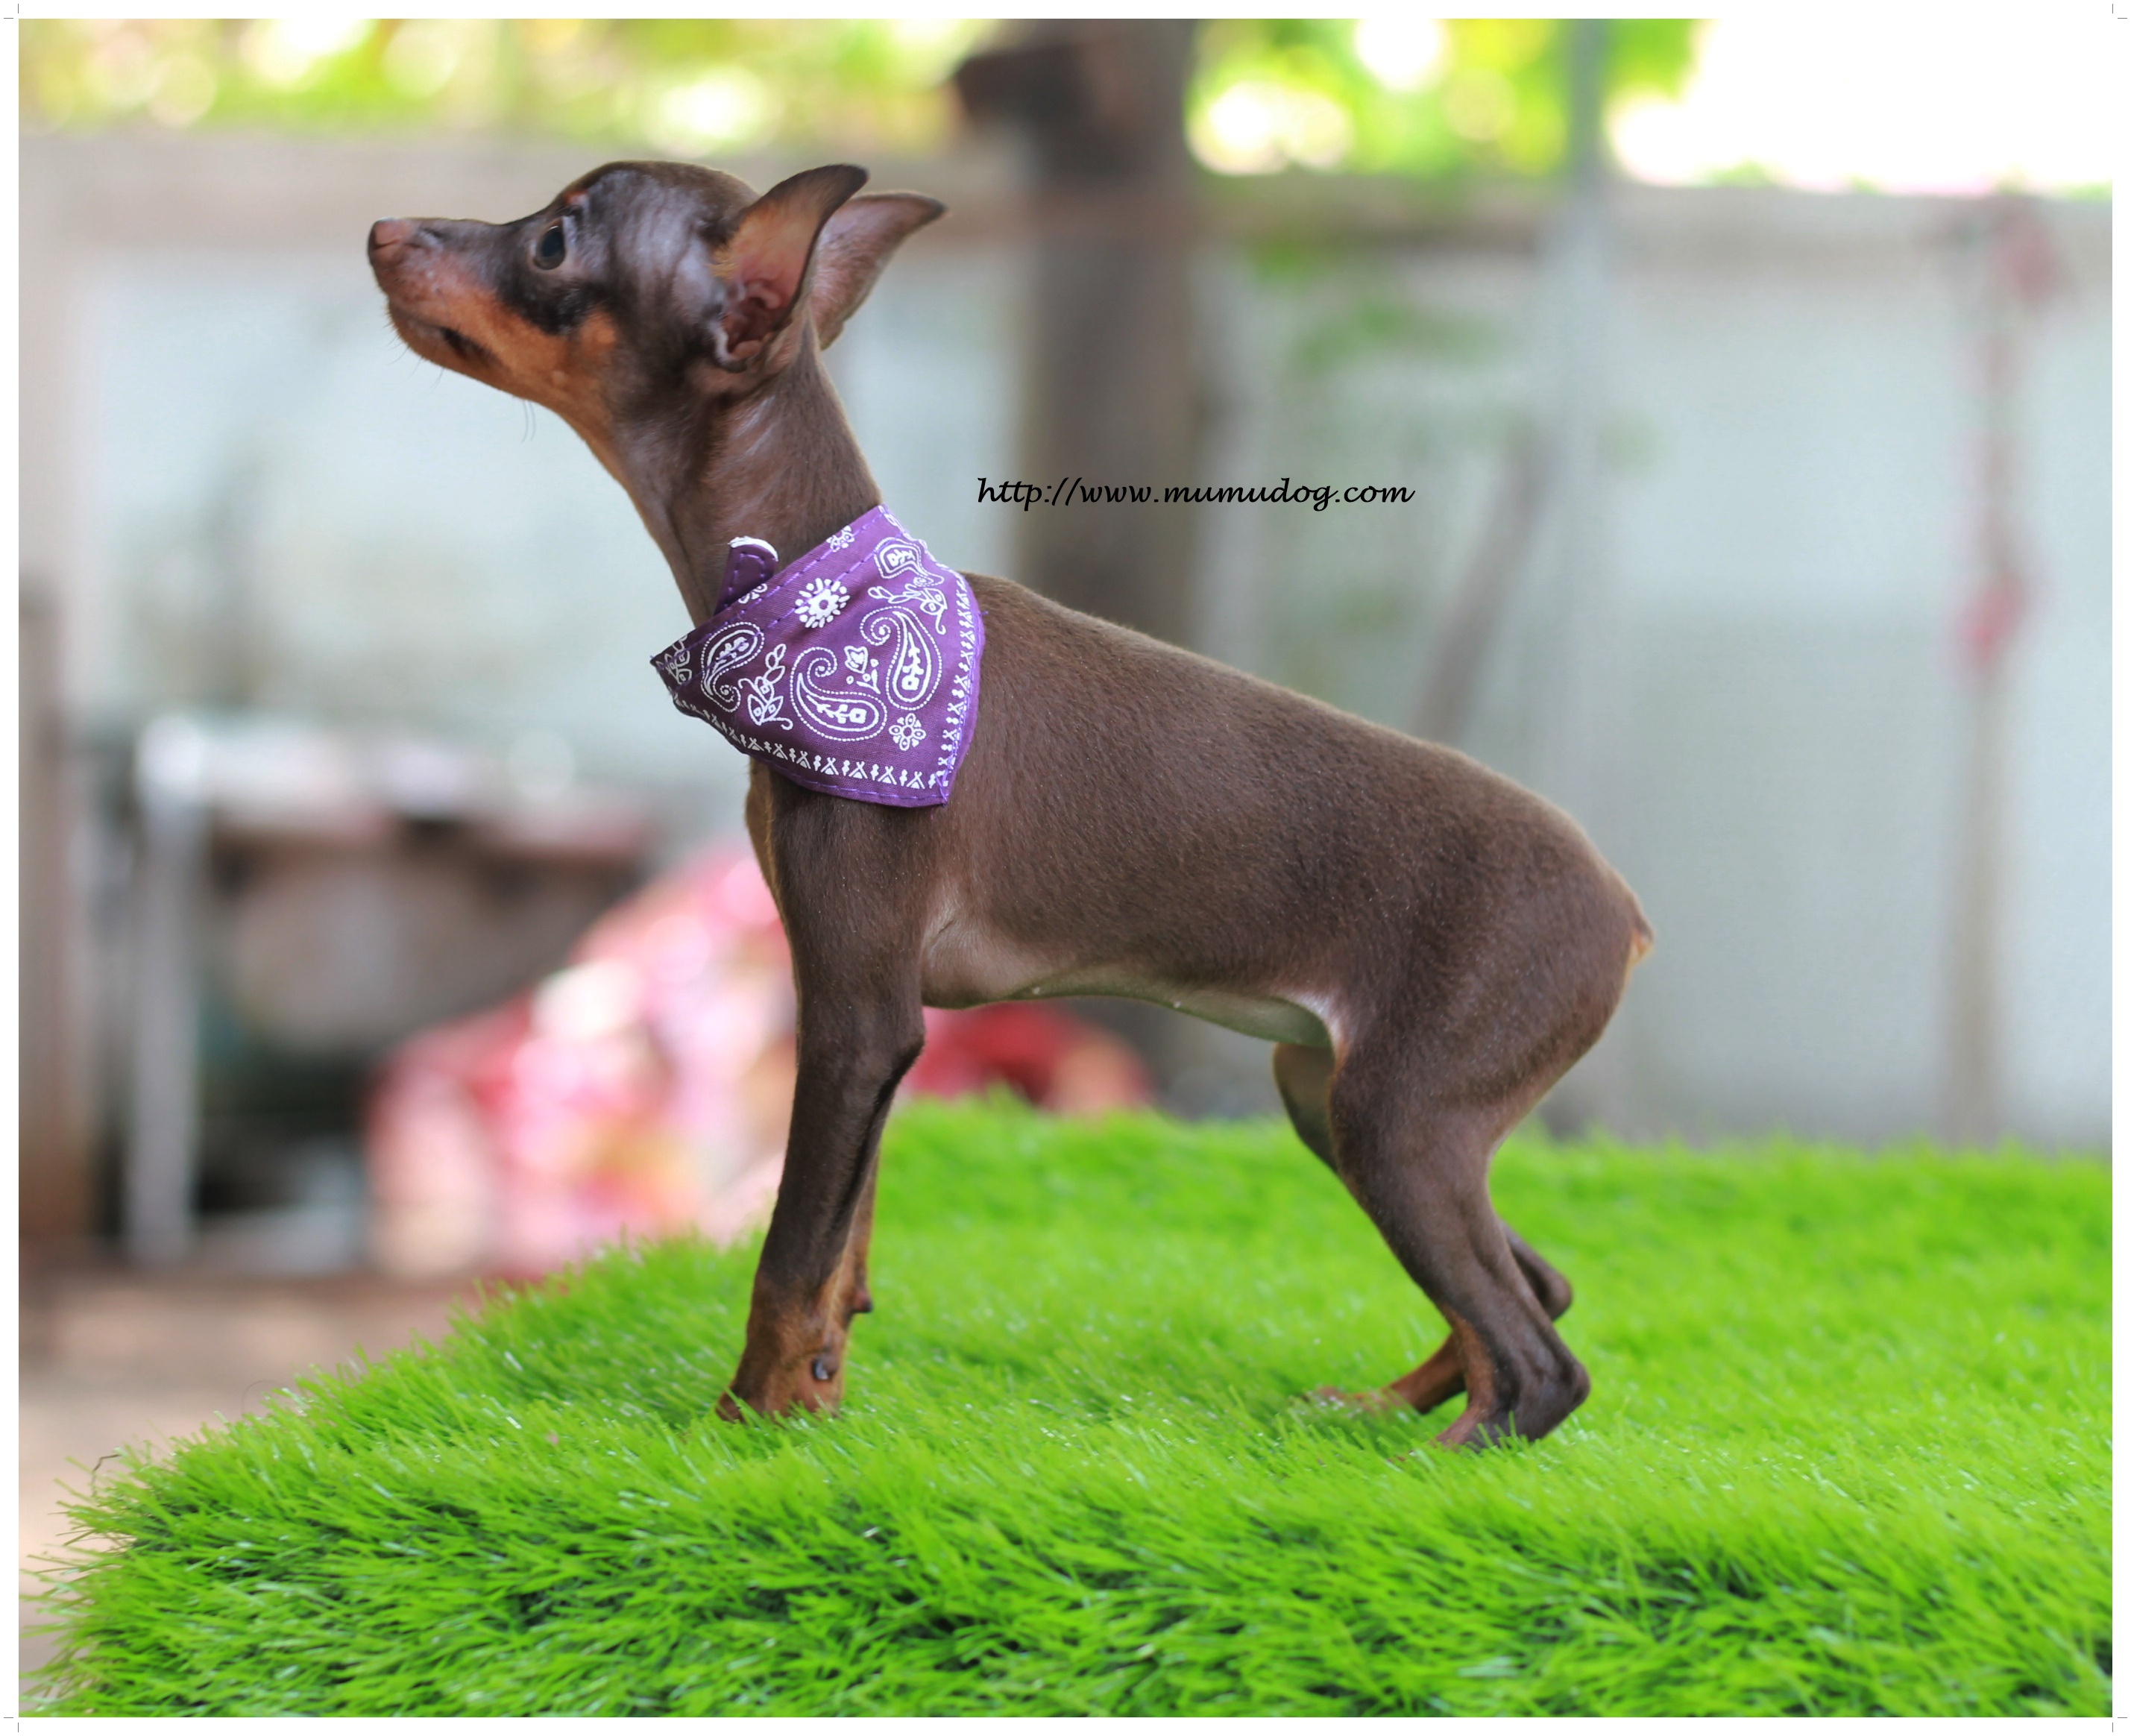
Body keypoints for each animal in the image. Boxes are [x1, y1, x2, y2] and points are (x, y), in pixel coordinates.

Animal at [369, 161, 1652, 1448]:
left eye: (551, 243)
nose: (381, 231)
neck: (809, 597)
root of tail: (1625, 913)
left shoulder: (855, 1016)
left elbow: (789, 1257)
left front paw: (742, 1427)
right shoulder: (869, 1024)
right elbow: (843, 1252)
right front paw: (814, 1404)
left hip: (1397, 1121)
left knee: (1540, 1361)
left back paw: (1431, 1459)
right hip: (1328, 1099)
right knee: (1535, 1289)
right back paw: (1374, 1411)